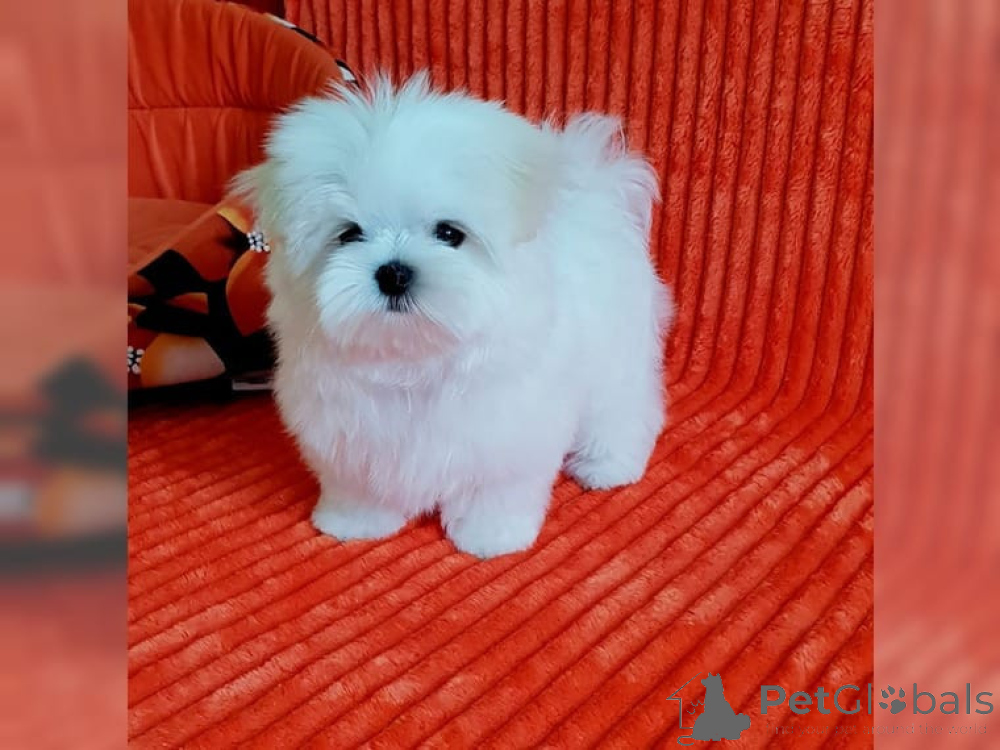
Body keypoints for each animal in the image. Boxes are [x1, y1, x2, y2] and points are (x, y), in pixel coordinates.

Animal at [235, 73, 673, 558]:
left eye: (449, 233)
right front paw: (355, 521)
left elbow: (497, 487)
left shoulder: (509, 428)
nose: (394, 272)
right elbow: (358, 481)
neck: (413, 356)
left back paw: (608, 464)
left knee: (623, 408)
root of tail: (595, 190)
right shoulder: (347, 432)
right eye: (348, 234)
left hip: (619, 353)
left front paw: (492, 534)